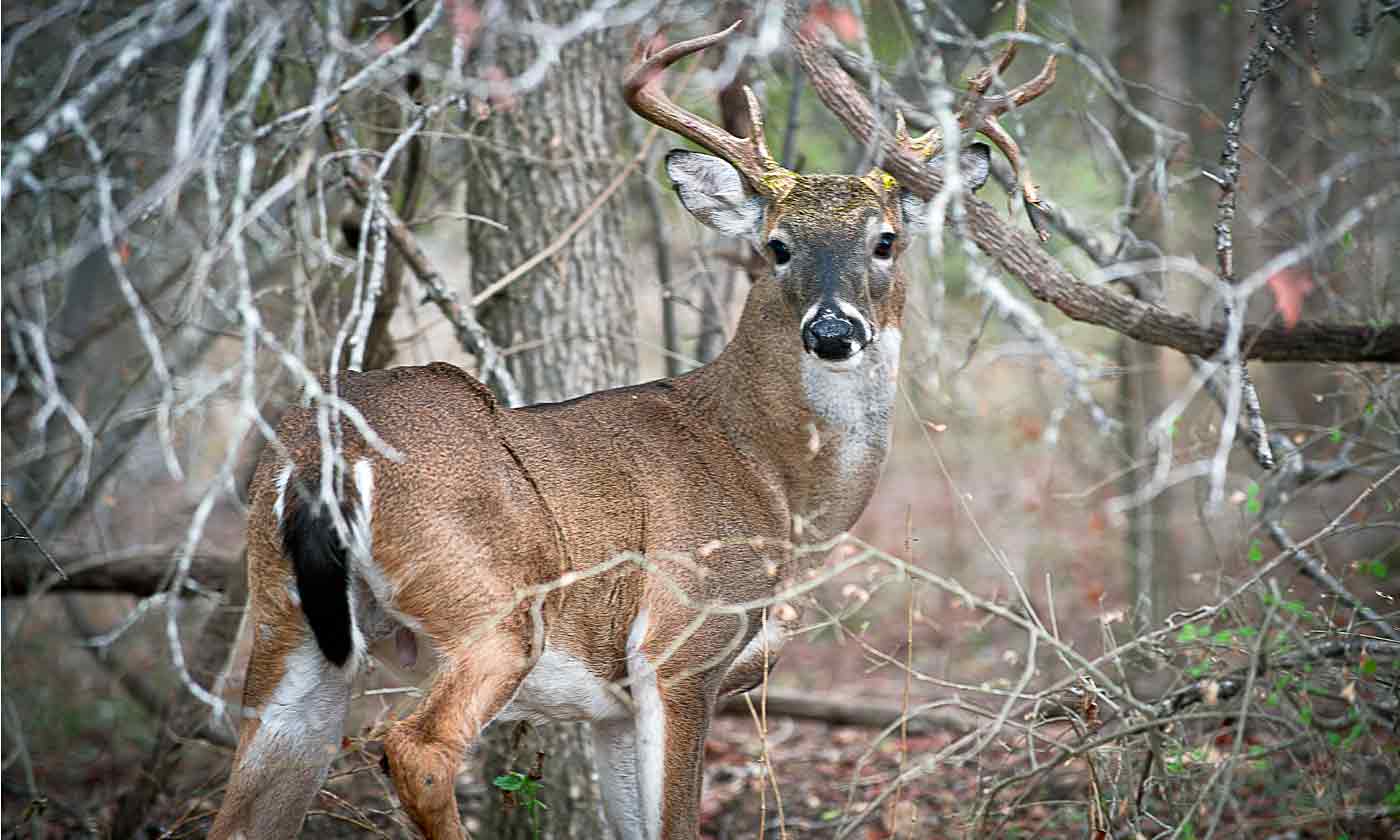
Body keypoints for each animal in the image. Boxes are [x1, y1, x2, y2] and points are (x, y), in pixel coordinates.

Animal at [210, 13, 1052, 840]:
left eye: (885, 240)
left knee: (248, 799)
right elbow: (677, 820)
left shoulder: (610, 705)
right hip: (491, 605)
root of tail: (323, 453)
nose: (833, 330)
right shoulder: (679, 646)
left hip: (289, 629)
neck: (773, 479)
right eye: (777, 246)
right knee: (415, 749)